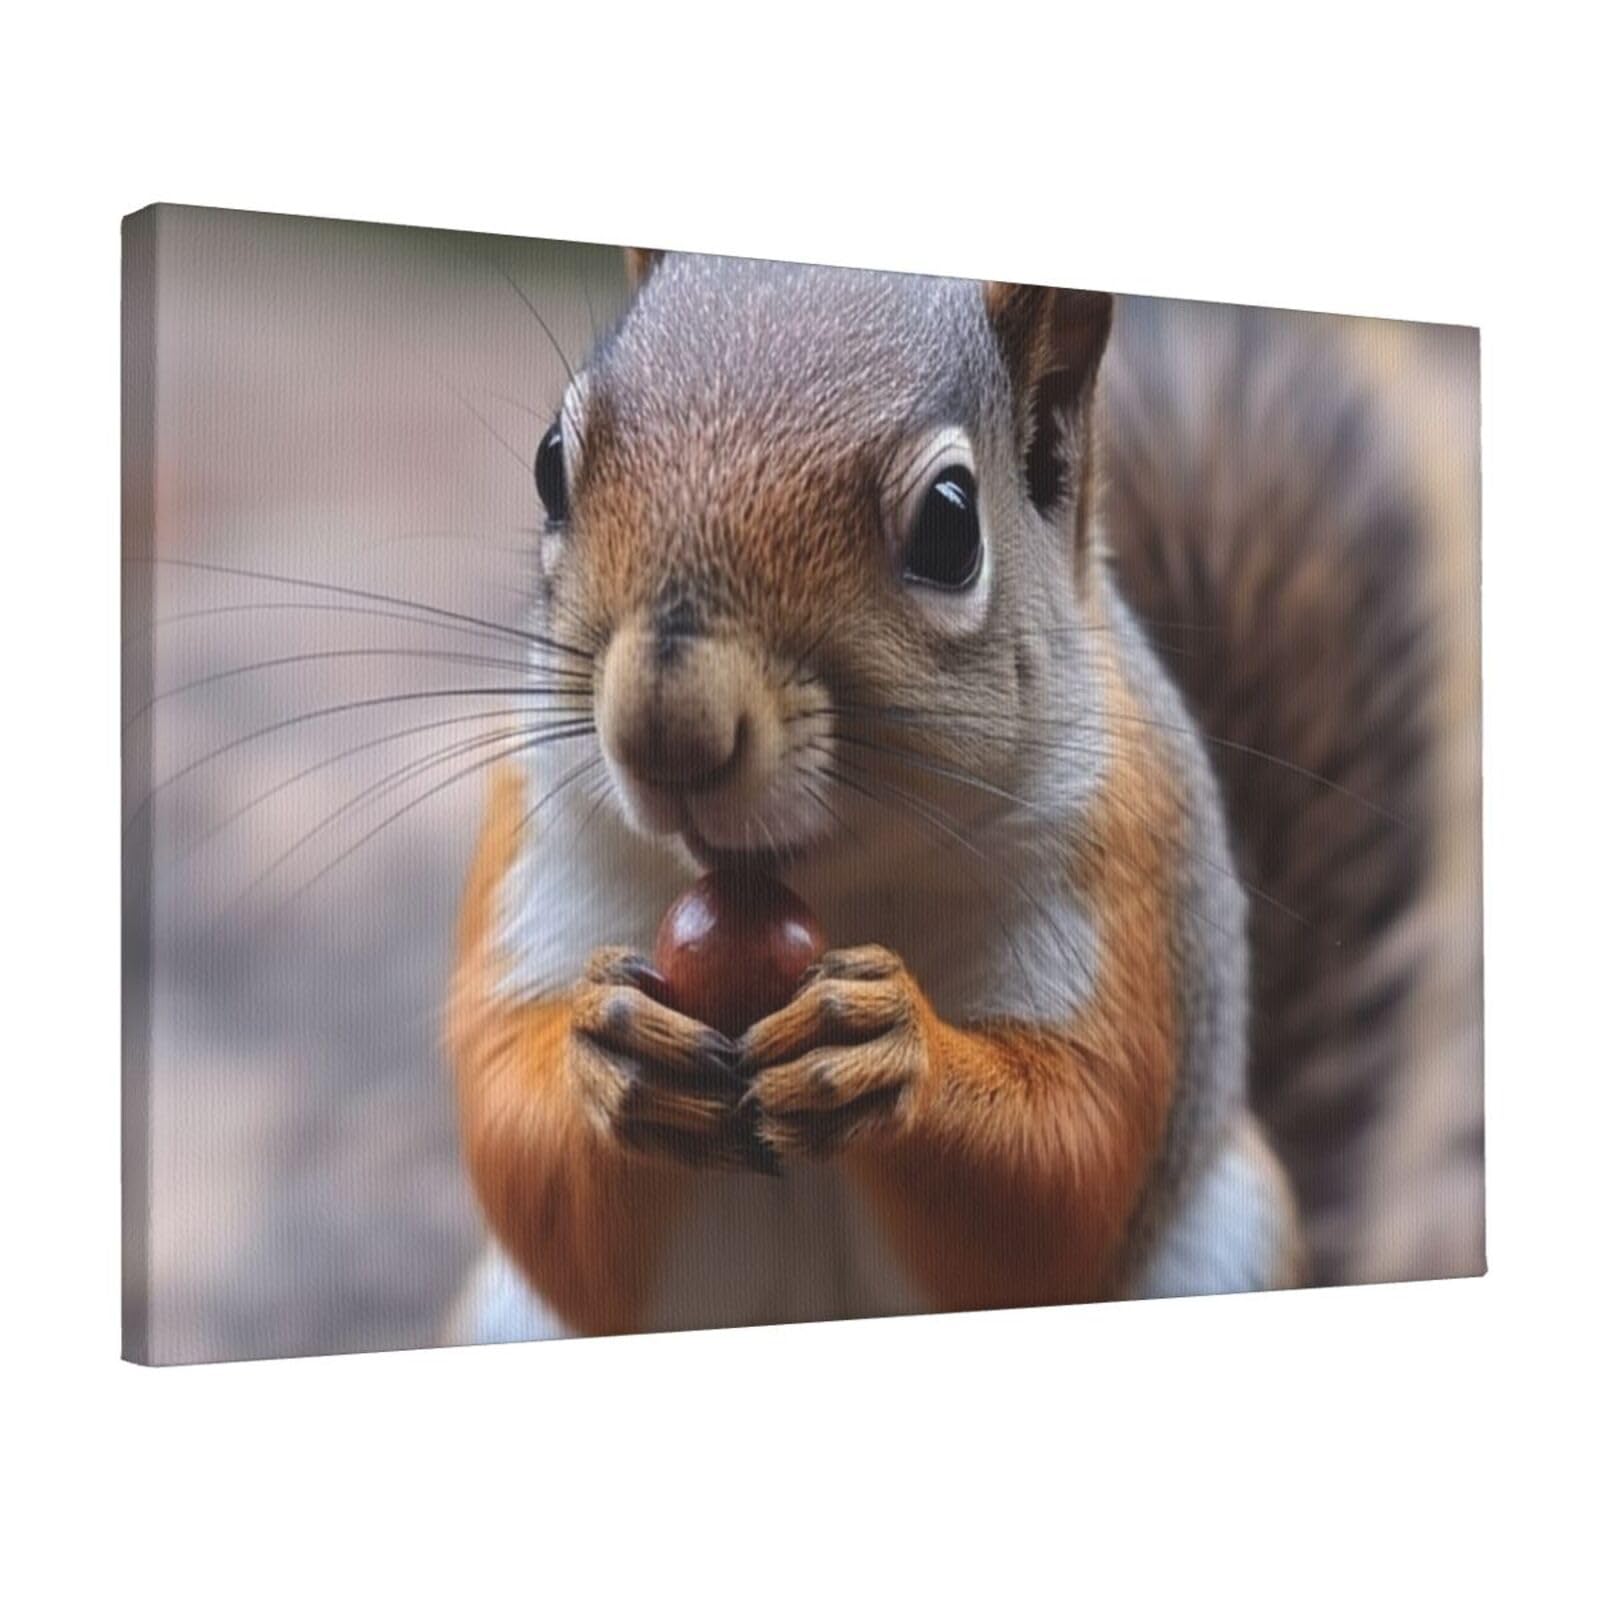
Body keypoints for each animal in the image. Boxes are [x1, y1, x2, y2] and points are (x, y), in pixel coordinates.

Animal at [444, 248, 1436, 1341]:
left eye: (950, 526)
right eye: (549, 463)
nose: (667, 730)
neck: (826, 878)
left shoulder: (1125, 871)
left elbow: (1067, 1164)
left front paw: (888, 1048)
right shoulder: (540, 842)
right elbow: (524, 1154)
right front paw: (610, 1055)